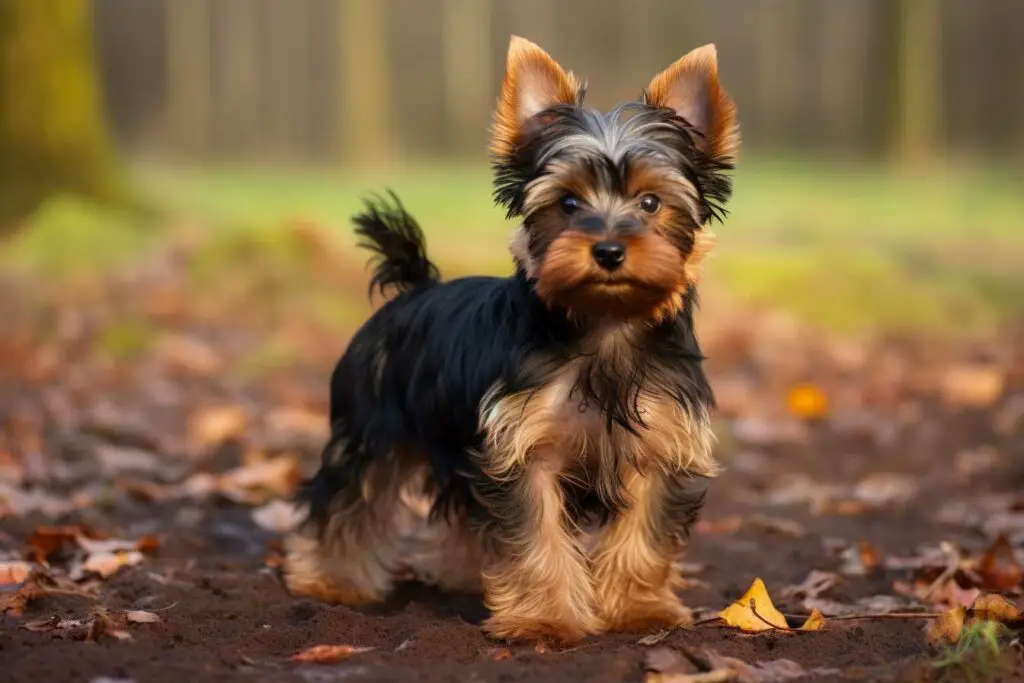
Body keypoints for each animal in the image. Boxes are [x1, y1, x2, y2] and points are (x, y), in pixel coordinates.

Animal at [284, 36, 741, 647]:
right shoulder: (523, 450)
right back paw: (333, 581)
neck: (605, 323)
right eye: (568, 203)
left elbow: (643, 533)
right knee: (352, 497)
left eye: (650, 203)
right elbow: (535, 534)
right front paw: (545, 620)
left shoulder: (663, 445)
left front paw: (638, 610)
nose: (609, 250)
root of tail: (414, 288)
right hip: (370, 424)